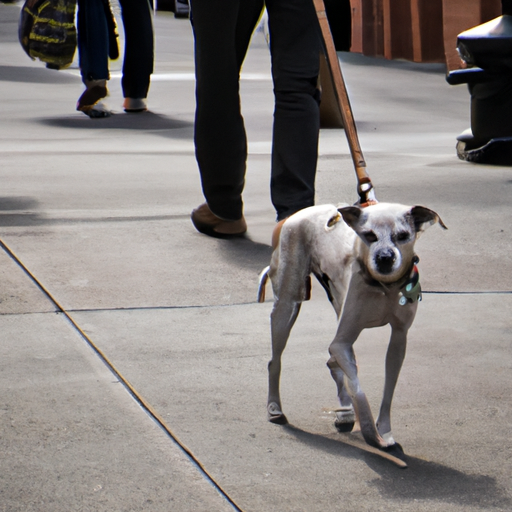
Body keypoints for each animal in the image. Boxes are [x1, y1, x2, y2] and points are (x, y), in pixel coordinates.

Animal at [258, 202, 446, 454]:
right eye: (369, 235)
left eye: (403, 236)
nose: (384, 257)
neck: (383, 287)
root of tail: (296, 215)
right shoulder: (342, 342)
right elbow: (358, 389)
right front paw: (371, 433)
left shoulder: (398, 339)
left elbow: (387, 390)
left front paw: (384, 432)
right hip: (288, 305)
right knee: (274, 361)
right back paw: (274, 408)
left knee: (333, 364)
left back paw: (345, 411)